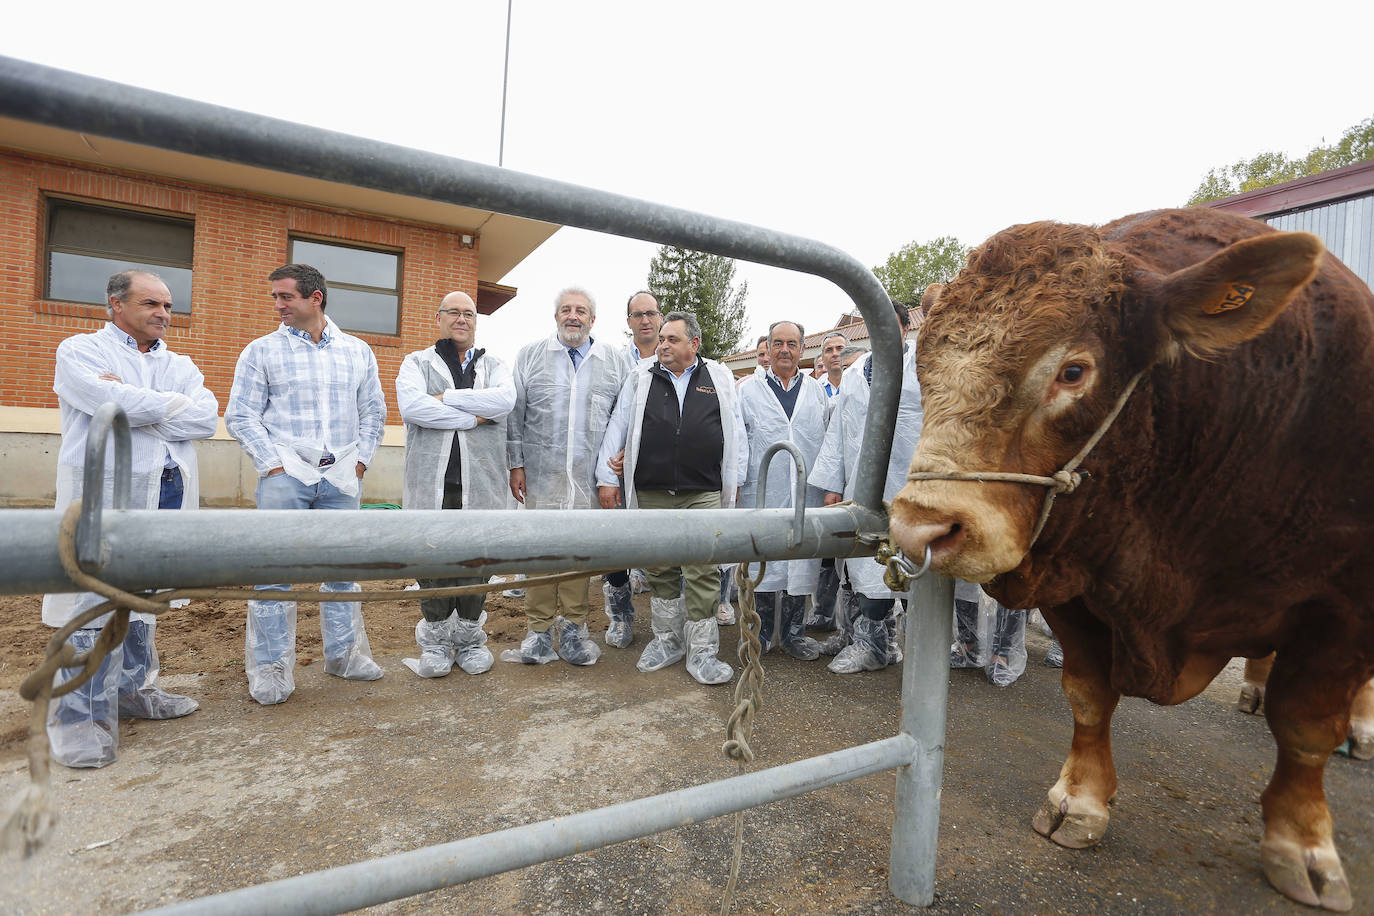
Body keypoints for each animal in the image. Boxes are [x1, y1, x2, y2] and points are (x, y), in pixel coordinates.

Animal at [890, 207, 1374, 911]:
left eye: (1073, 371)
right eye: (923, 367)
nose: (921, 526)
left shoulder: (1346, 608)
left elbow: (1306, 729)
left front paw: (1303, 844)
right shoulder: (1073, 581)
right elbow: (1089, 694)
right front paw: (1079, 801)